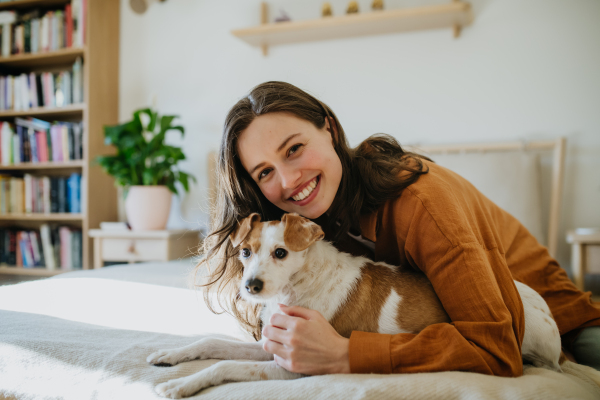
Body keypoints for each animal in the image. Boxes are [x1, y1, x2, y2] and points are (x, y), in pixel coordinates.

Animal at [146, 212, 564, 396]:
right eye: (245, 251)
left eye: (281, 252)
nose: (251, 286)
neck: (301, 284)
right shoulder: (271, 345)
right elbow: (211, 343)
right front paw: (169, 356)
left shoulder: (294, 366)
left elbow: (225, 365)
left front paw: (180, 385)